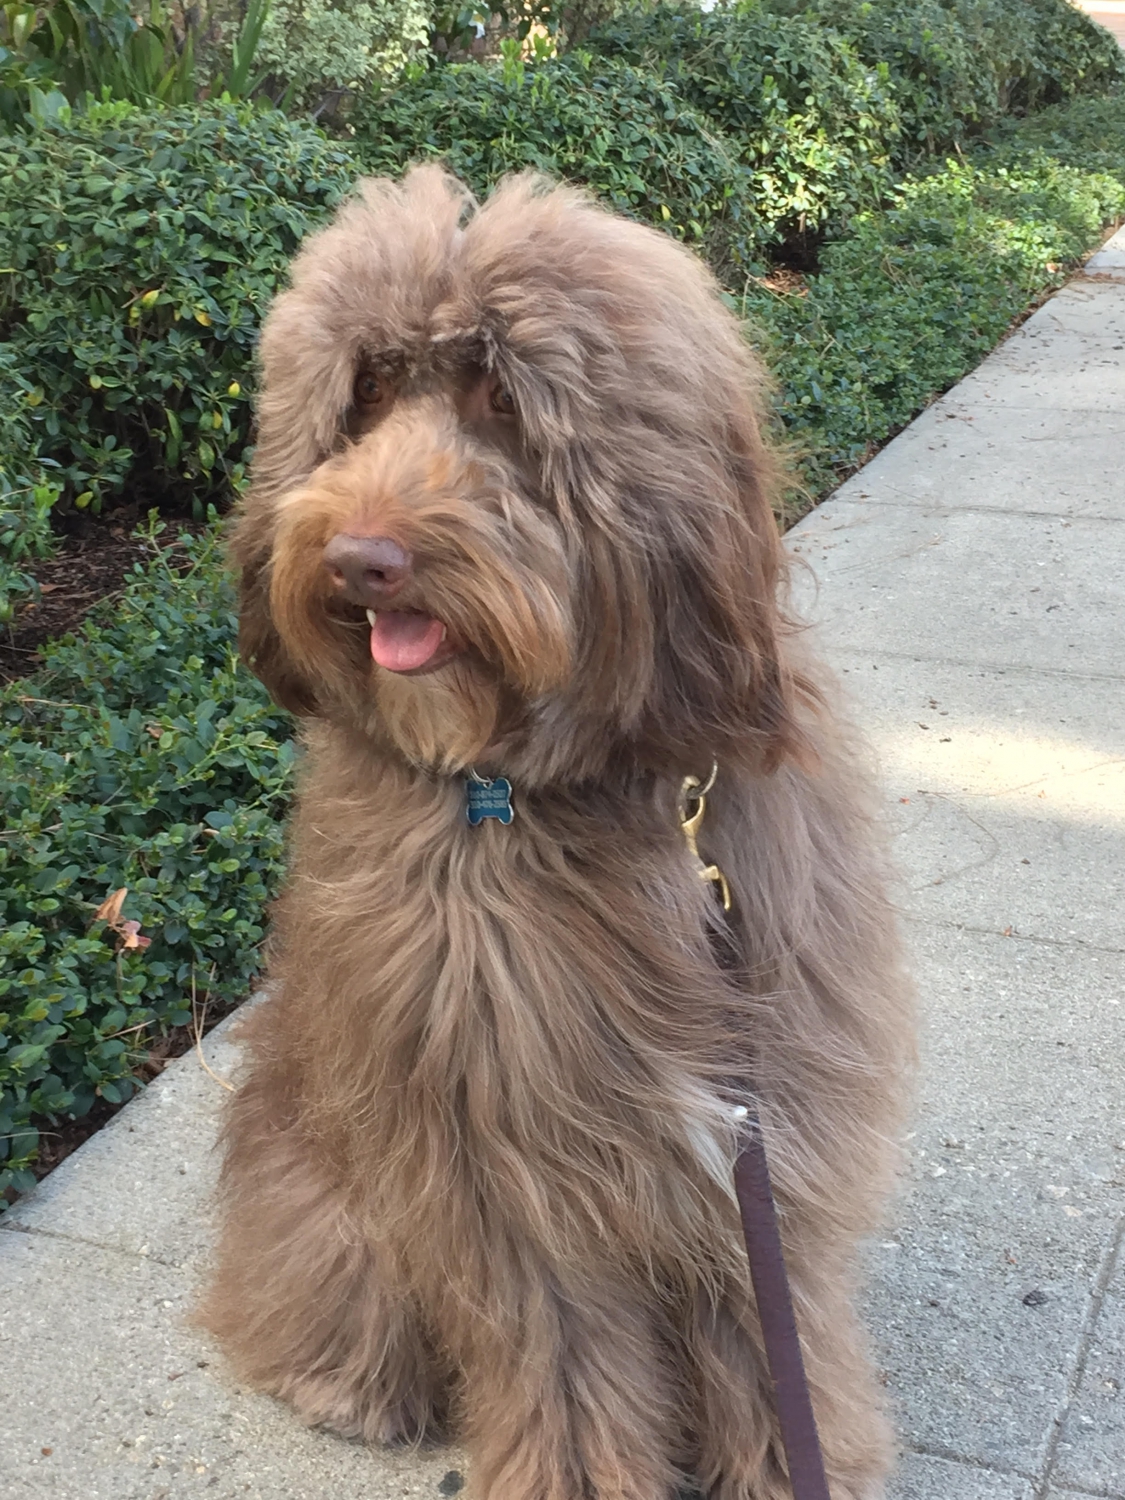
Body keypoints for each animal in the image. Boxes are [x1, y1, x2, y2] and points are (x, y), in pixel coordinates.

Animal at [205, 164, 918, 1500]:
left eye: (501, 397)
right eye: (366, 390)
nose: (361, 559)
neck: (542, 787)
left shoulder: (760, 1117)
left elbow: (768, 1323)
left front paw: (793, 1464)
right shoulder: (496, 1153)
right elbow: (563, 1352)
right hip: (324, 1192)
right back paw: (345, 1385)